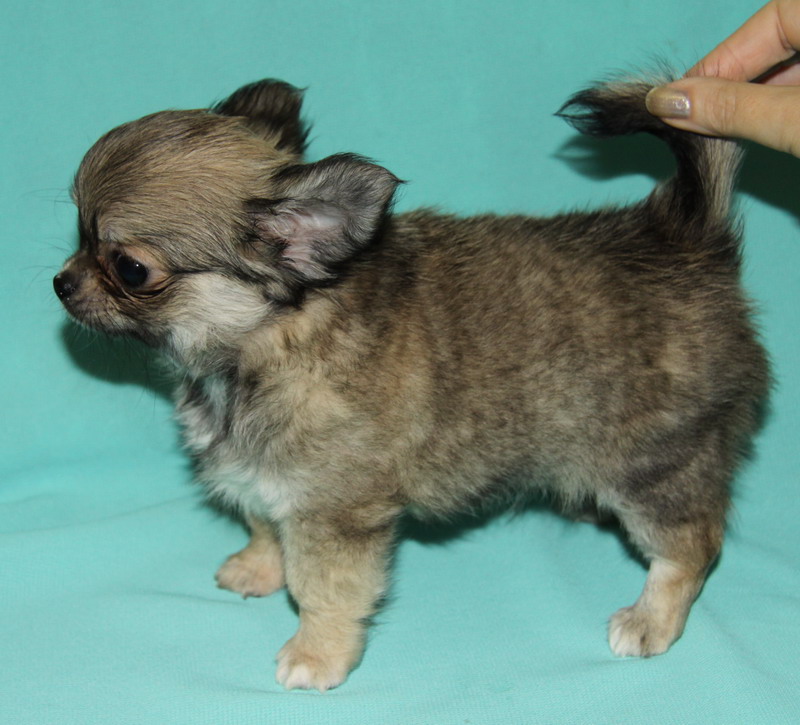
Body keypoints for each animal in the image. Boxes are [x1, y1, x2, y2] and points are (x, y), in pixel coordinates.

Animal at [53, 77, 769, 691]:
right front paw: (257, 567)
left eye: (130, 268)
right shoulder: (268, 480)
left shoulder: (334, 513)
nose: (61, 281)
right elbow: (263, 524)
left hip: (654, 467)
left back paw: (651, 621)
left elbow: (322, 588)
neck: (268, 340)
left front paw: (316, 654)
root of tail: (684, 238)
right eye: (78, 235)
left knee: (691, 547)